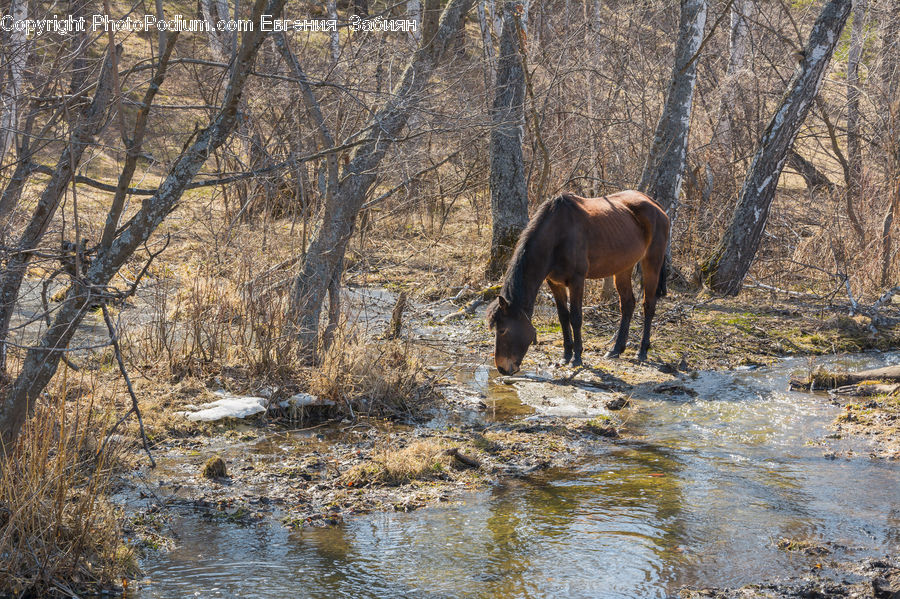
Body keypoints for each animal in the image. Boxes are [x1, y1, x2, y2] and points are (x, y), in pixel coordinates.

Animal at [486, 191, 670, 375]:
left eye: (502, 330)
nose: (502, 368)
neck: (558, 236)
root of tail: (655, 205)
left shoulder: (577, 281)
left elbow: (575, 317)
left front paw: (577, 357)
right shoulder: (554, 283)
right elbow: (563, 316)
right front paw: (566, 355)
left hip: (652, 262)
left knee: (648, 305)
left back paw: (642, 350)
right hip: (623, 267)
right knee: (628, 304)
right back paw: (616, 349)